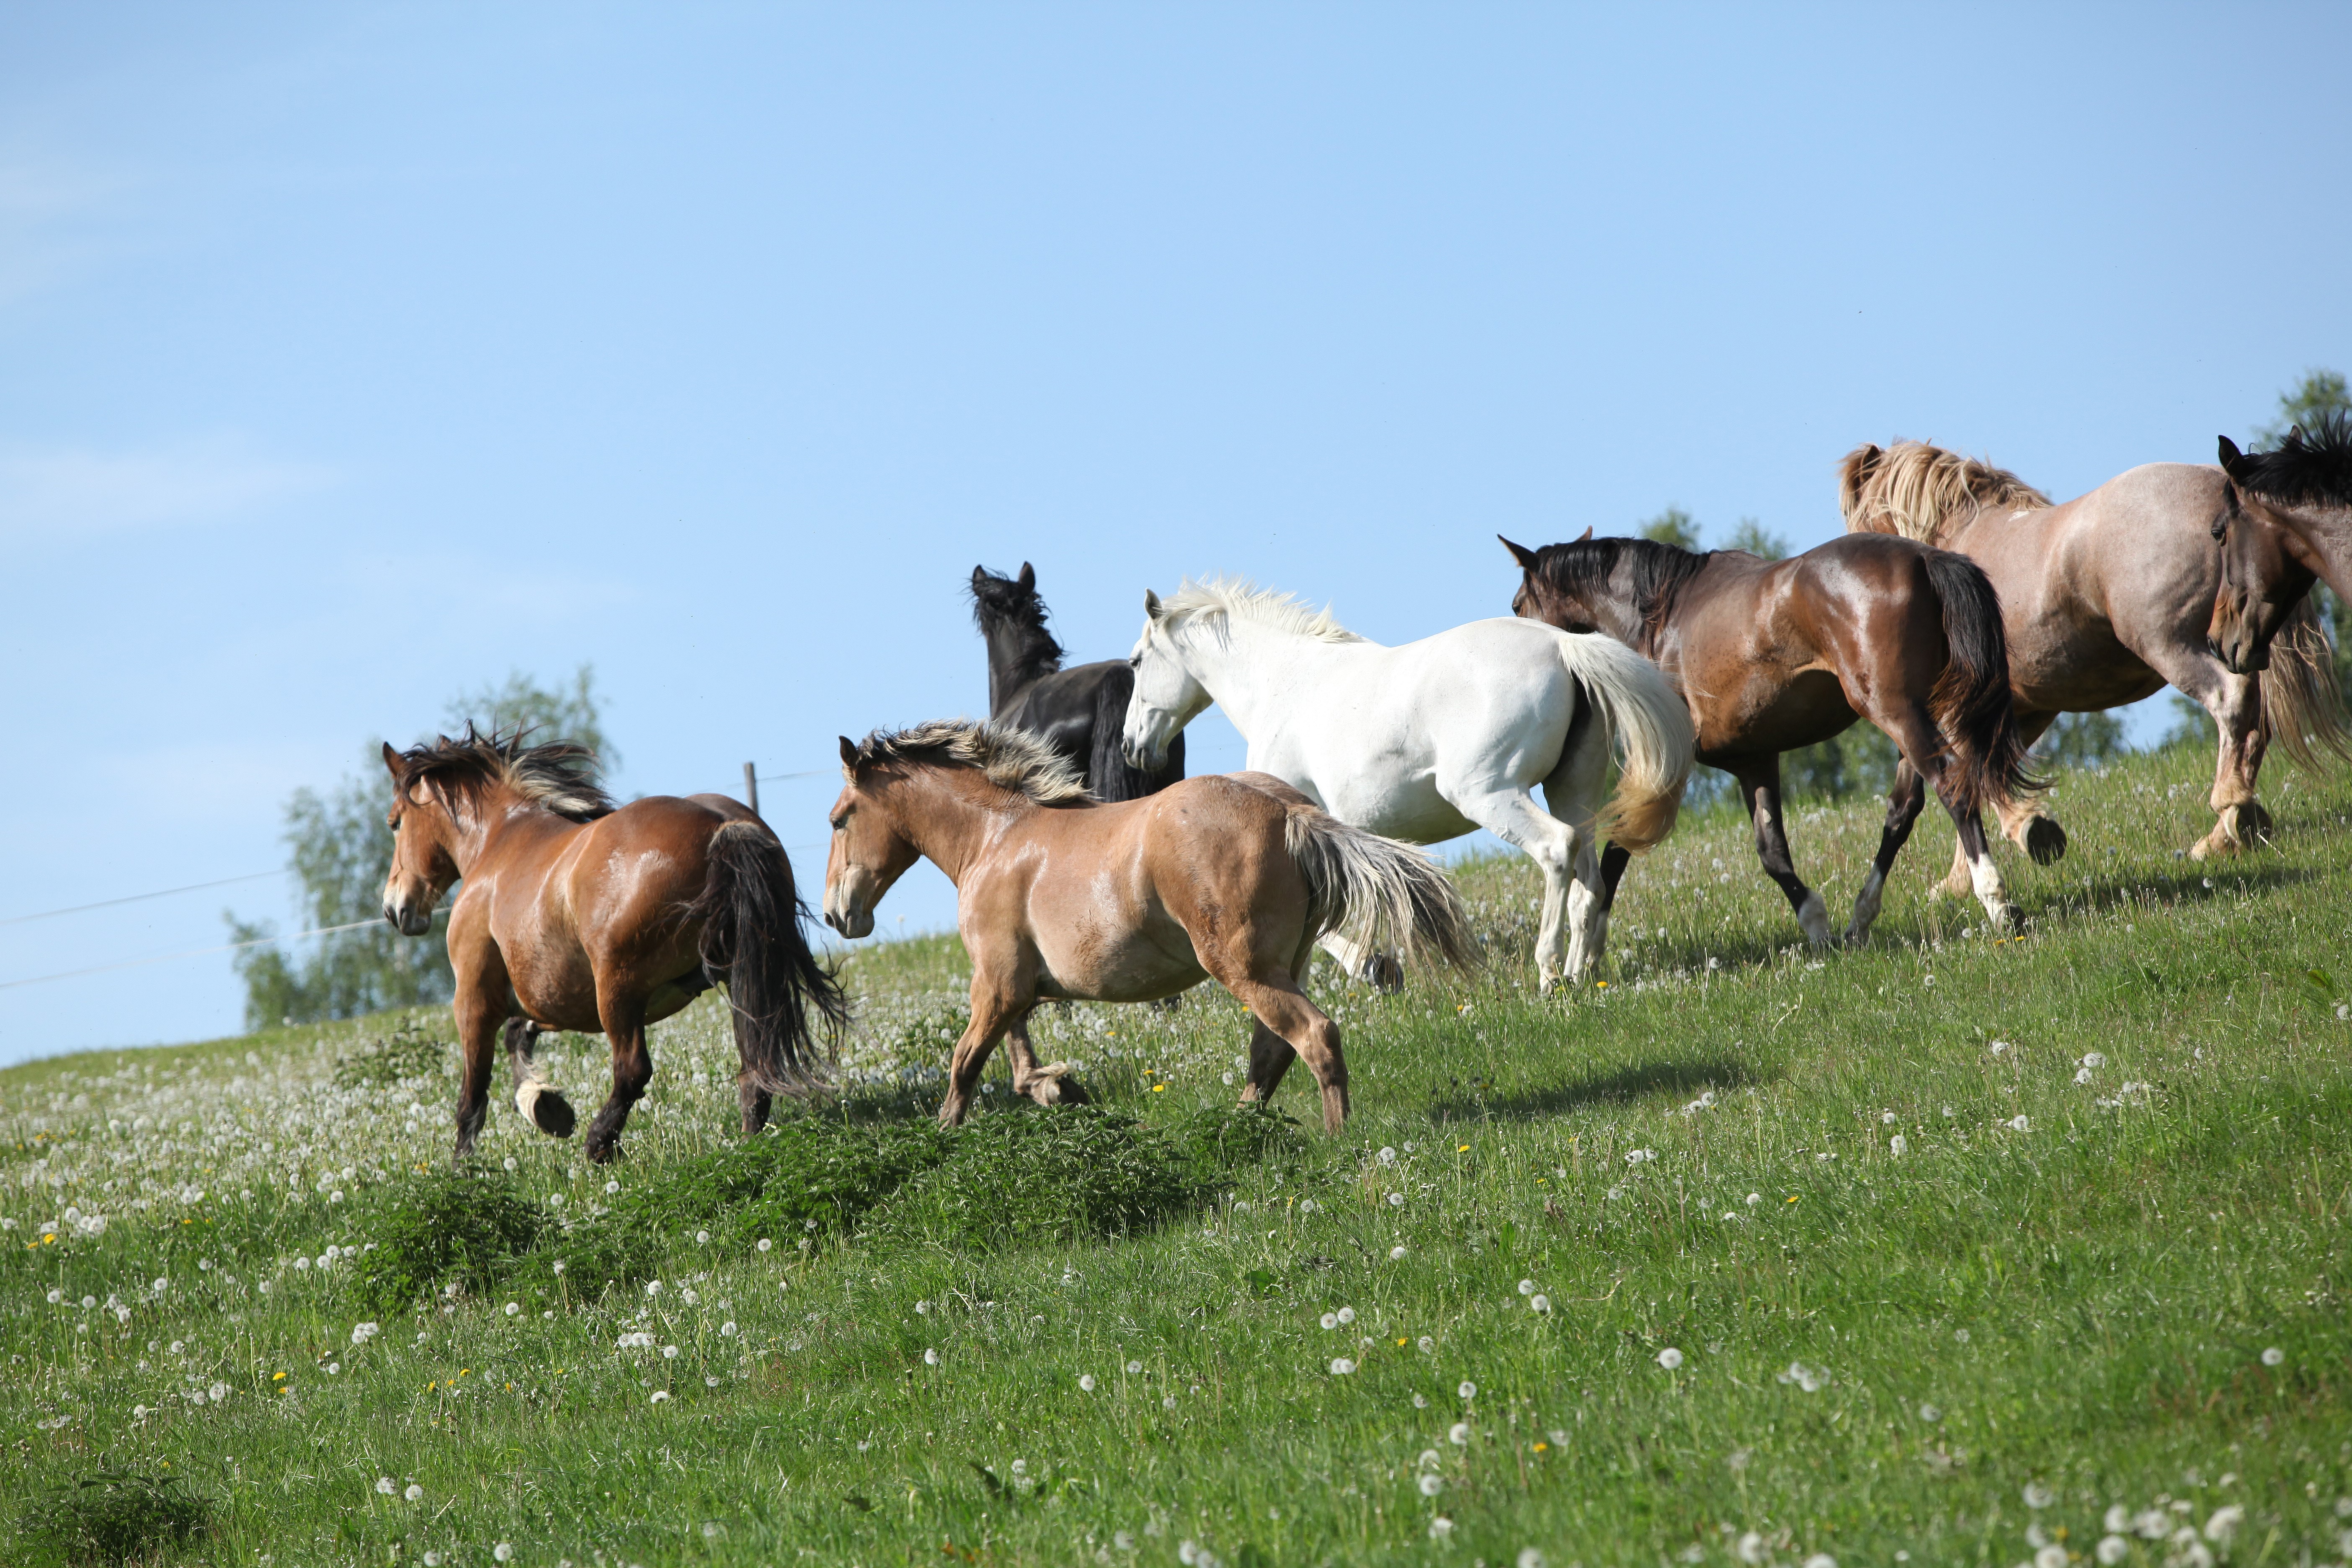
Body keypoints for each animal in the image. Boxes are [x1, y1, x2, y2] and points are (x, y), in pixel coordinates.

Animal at [380, 728, 845, 1165]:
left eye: (395, 822)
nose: (394, 908)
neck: (500, 841)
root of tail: (721, 827)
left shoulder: (474, 999)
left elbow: (472, 1099)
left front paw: (463, 1172)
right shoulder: (558, 1000)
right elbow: (518, 1035)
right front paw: (546, 1105)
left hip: (618, 991)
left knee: (633, 1070)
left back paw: (599, 1143)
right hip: (737, 977)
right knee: (753, 1071)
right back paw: (747, 1147)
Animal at [819, 720, 1477, 1132]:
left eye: (838, 819)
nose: (837, 914)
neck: (997, 838)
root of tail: (1291, 811)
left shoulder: (998, 983)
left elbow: (964, 1065)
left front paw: (942, 1137)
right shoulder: (1018, 988)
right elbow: (1016, 1062)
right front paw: (1059, 1089)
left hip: (1242, 967)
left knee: (1314, 1037)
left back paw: (1334, 1140)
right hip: (1284, 964)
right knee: (1271, 1053)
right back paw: (1237, 1129)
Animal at [1117, 578, 1693, 991]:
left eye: (1137, 662)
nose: (1131, 746)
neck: (1286, 684)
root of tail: (1562, 644)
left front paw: (1375, 968)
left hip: (1490, 795)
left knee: (1557, 850)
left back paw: (1548, 973)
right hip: (1572, 792)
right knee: (1590, 882)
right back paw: (1581, 971)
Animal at [1502, 532, 2036, 944]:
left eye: (1517, 605)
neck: (1663, 615)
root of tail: (1924, 558)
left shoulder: (1667, 767)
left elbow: (1619, 847)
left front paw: (1586, 942)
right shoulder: (1754, 761)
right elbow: (1773, 853)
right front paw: (1816, 925)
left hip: (1897, 714)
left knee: (1953, 790)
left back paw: (1997, 901)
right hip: (1918, 717)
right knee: (1903, 810)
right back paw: (1860, 919)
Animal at [1840, 438, 2347, 868]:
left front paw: (2022, 834)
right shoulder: (2029, 707)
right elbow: (1982, 776)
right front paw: (1966, 876)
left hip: (2173, 646)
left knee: (2232, 702)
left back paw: (2229, 808)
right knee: (2256, 725)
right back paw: (2228, 831)